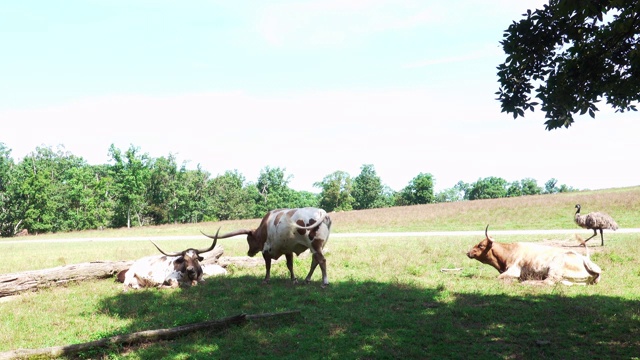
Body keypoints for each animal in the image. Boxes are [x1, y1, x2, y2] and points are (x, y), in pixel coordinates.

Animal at [202, 208, 332, 286]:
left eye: (249, 240)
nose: (249, 253)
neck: (264, 228)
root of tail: (322, 213)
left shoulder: (265, 251)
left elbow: (268, 266)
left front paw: (266, 279)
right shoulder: (288, 249)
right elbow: (290, 265)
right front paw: (294, 279)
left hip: (315, 245)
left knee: (322, 260)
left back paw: (324, 282)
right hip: (317, 247)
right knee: (315, 261)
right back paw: (307, 279)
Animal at [464, 226, 600, 286]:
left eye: (481, 245)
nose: (468, 252)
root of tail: (585, 259)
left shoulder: (513, 270)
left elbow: (499, 278)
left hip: (554, 268)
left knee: (547, 282)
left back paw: (526, 282)